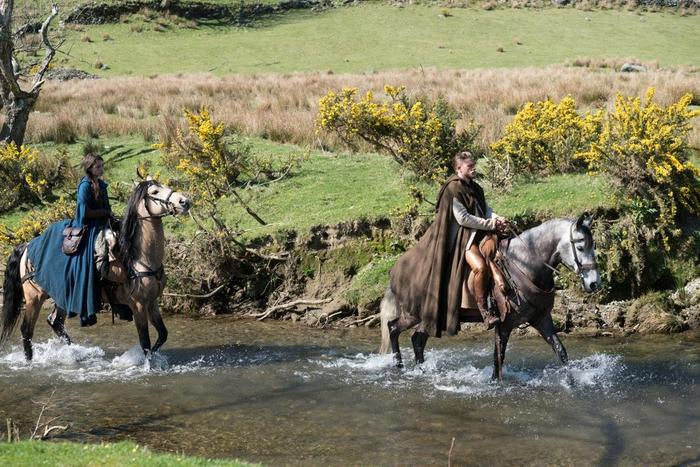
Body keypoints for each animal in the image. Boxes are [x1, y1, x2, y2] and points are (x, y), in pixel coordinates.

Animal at [0, 179, 190, 362]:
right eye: (155, 192)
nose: (184, 201)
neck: (139, 257)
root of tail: (27, 246)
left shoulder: (152, 302)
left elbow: (162, 335)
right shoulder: (138, 305)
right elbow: (145, 342)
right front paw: (146, 364)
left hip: (62, 296)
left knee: (56, 322)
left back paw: (73, 353)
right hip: (34, 297)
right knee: (27, 330)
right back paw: (30, 361)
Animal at [380, 214, 600, 382]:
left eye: (594, 246)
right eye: (581, 248)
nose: (594, 284)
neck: (525, 266)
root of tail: (397, 272)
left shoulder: (541, 319)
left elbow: (560, 351)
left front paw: (570, 382)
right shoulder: (504, 324)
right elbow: (498, 358)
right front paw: (495, 382)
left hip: (425, 317)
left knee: (411, 336)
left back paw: (415, 369)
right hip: (417, 314)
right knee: (398, 330)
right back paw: (402, 366)